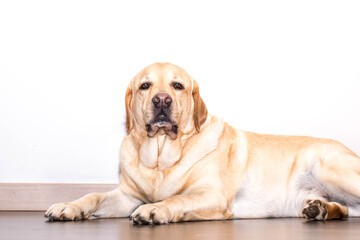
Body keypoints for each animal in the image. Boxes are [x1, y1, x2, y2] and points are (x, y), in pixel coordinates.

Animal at [45, 62, 360, 224]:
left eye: (178, 86)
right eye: (145, 86)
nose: (162, 100)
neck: (161, 158)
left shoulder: (213, 196)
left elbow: (178, 198)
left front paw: (156, 209)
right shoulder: (127, 196)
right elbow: (93, 196)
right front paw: (69, 206)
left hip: (329, 168)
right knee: (349, 210)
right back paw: (321, 209)